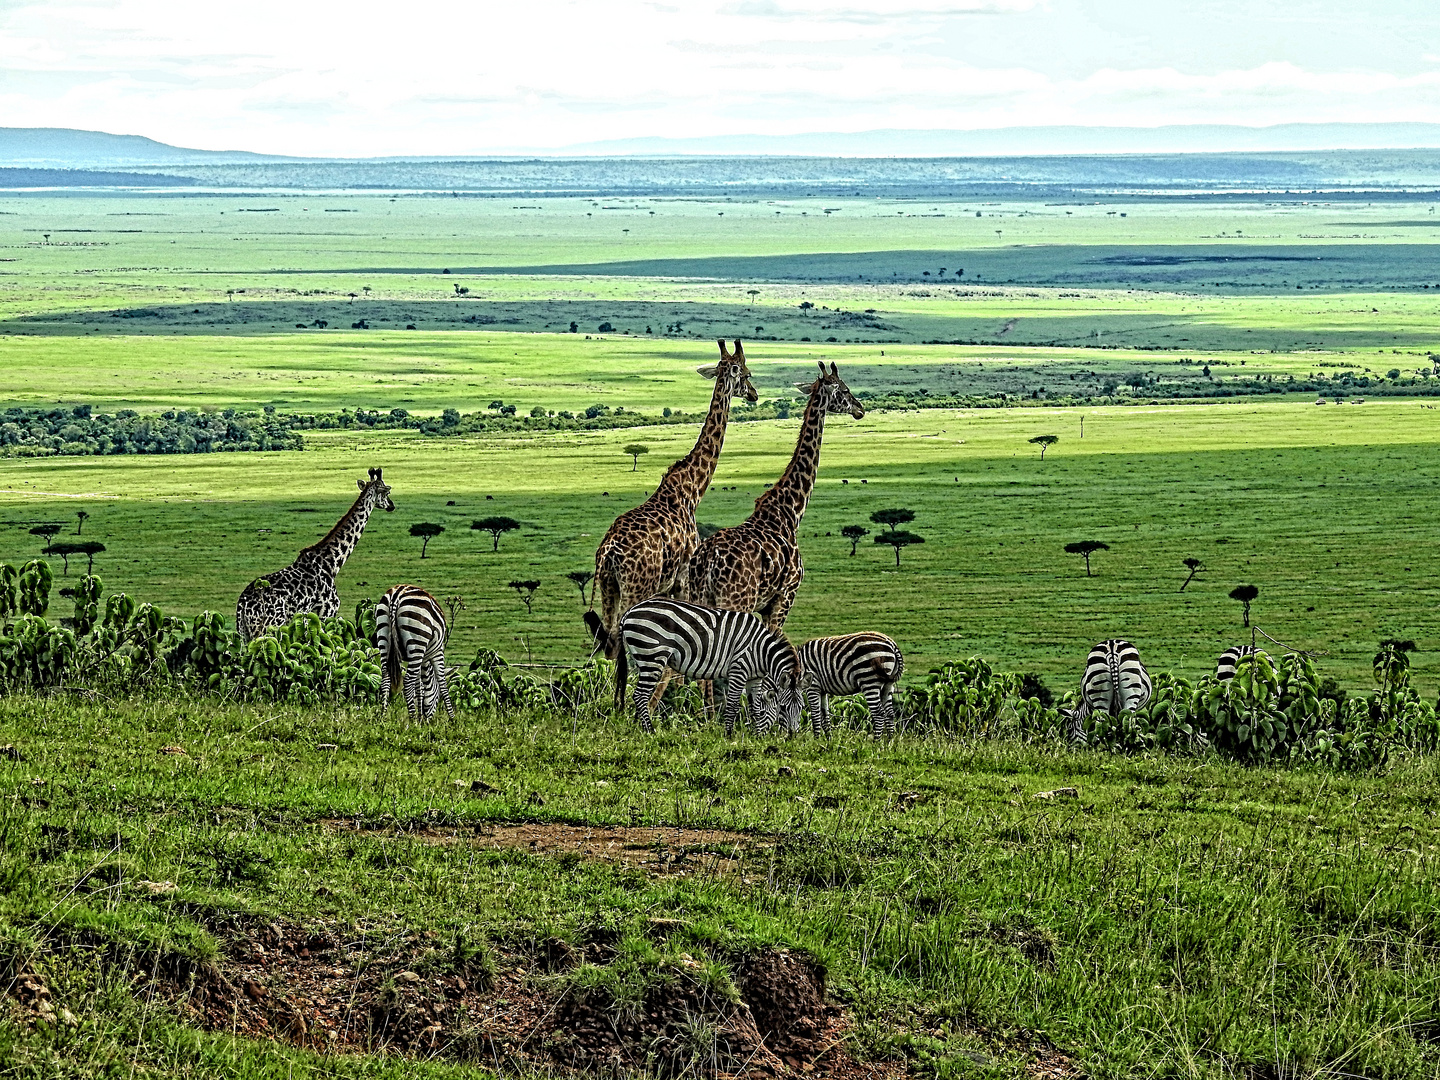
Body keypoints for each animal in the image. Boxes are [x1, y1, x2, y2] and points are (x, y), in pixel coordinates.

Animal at [237, 466, 397, 642]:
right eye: (387, 492)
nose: (392, 505)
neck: (333, 562)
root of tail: (242, 605)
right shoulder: (326, 612)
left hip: (244, 632)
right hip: (268, 627)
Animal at [374, 587, 452, 722]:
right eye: (437, 698)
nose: (427, 720)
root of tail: (396, 595)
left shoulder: (422, 659)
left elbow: (418, 685)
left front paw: (420, 714)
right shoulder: (437, 652)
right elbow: (441, 681)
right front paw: (453, 719)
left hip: (383, 636)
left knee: (385, 678)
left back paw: (383, 717)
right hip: (417, 640)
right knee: (408, 681)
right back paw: (412, 720)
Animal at [587, 338, 766, 711]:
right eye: (746, 373)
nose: (755, 394)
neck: (693, 488)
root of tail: (609, 551)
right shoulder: (682, 580)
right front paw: (684, 703)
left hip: (609, 586)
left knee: (609, 641)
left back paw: (615, 704)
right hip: (636, 586)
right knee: (622, 642)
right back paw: (624, 707)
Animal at [616, 596, 806, 743]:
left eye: (802, 707)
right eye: (783, 708)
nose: (792, 737)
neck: (762, 651)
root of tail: (629, 612)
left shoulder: (755, 678)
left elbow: (756, 708)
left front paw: (757, 736)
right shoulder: (738, 670)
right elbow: (733, 705)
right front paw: (729, 735)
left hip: (643, 658)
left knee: (640, 695)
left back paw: (643, 727)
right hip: (652, 655)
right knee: (640, 695)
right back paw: (650, 731)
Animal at [688, 364, 864, 633]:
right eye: (844, 389)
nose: (860, 409)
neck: (790, 511)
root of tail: (708, 562)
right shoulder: (784, 598)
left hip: (697, 598)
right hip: (736, 601)